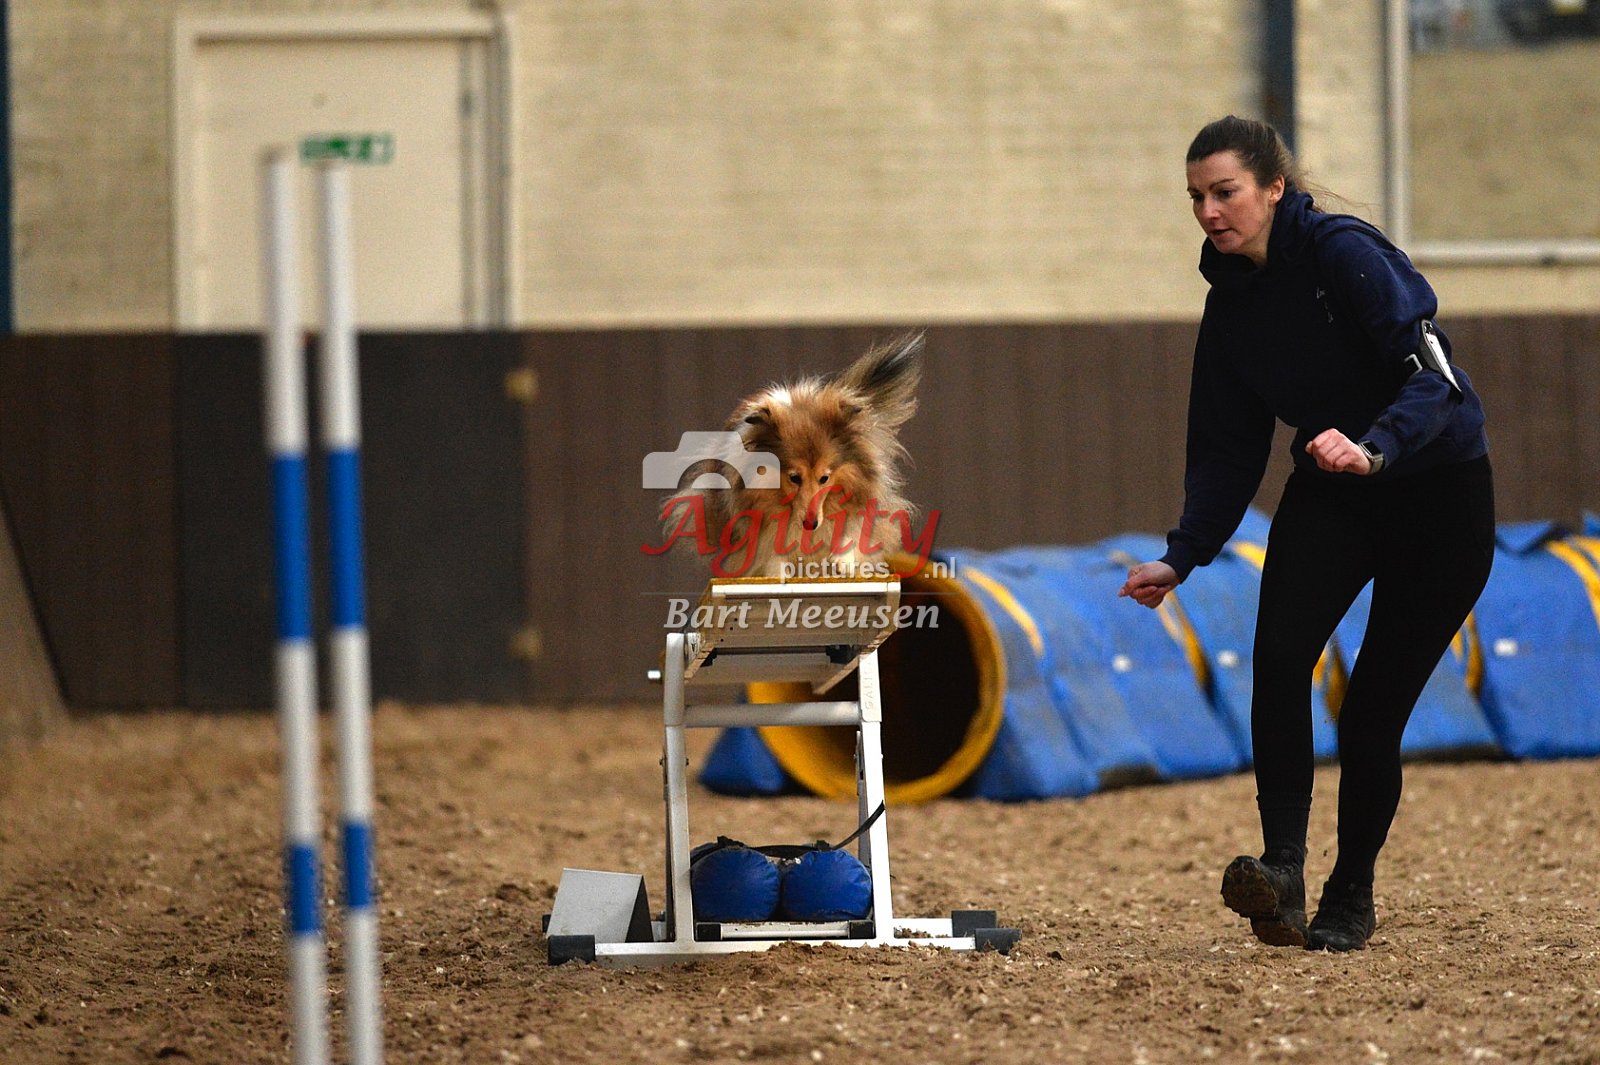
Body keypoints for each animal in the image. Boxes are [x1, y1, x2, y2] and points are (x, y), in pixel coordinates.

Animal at [661, 331, 925, 579]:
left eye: (825, 478)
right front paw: (777, 571)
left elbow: (851, 530)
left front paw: (844, 562)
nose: (810, 524)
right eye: (794, 477)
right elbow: (771, 548)